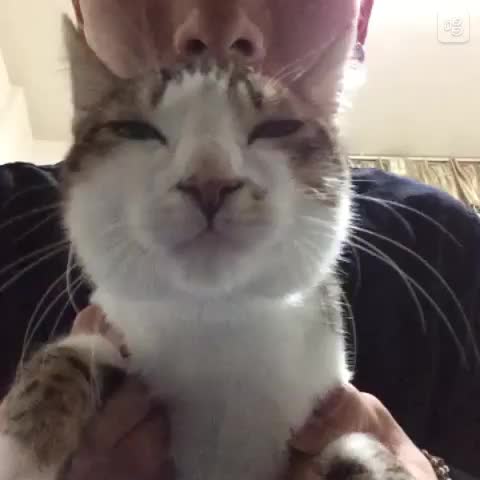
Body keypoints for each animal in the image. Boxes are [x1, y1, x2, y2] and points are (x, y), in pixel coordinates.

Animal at [0, 17, 413, 480]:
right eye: (134, 130)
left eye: (277, 128)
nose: (209, 182)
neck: (214, 320)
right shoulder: (119, 334)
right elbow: (74, 352)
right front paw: (23, 449)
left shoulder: (327, 402)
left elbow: (359, 446)